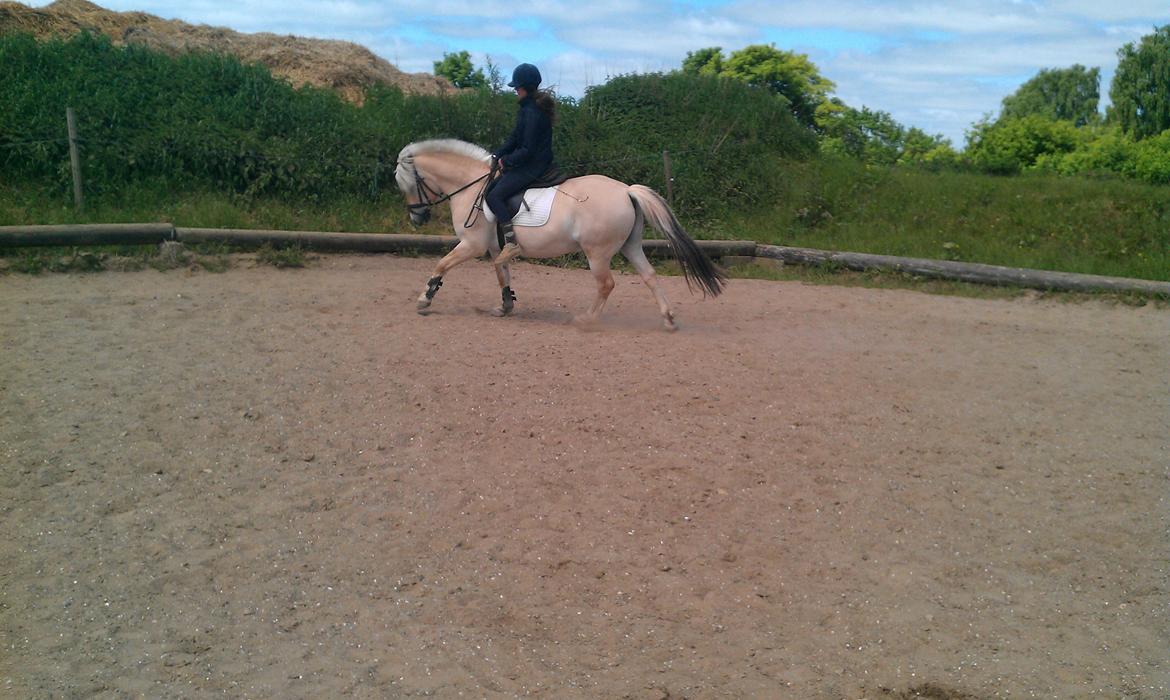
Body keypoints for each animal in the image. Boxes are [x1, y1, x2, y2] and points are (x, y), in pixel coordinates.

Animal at [393, 141, 720, 332]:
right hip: (630, 246)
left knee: (606, 284)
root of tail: (626, 190)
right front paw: (505, 306)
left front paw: (424, 299)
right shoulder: (493, 248)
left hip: (597, 252)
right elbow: (502, 274)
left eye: (405, 183)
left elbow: (441, 265)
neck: (472, 185)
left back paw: (585, 320)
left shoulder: (472, 245)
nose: (416, 218)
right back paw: (669, 318)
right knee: (649, 276)